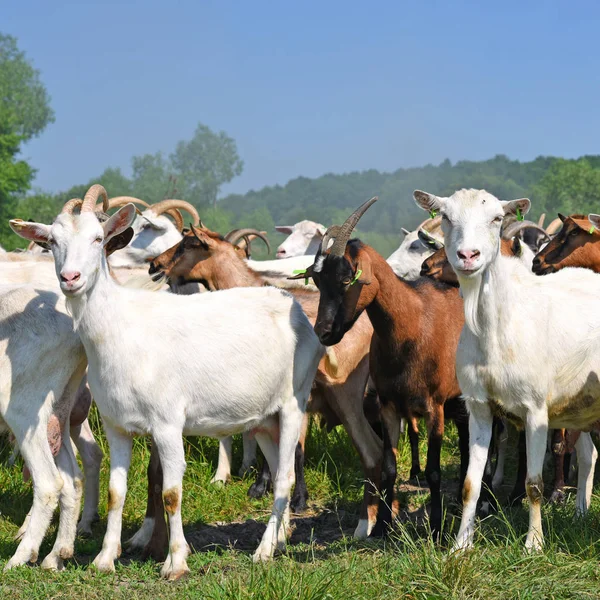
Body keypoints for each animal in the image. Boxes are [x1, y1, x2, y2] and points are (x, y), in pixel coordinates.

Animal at [10, 185, 324, 580]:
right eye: (52, 241)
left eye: (98, 238)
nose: (70, 278)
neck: (122, 328)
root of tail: (295, 309)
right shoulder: (116, 425)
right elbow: (116, 491)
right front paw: (105, 558)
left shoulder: (167, 424)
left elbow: (171, 493)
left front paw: (176, 562)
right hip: (266, 419)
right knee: (279, 465)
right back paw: (280, 539)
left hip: (294, 402)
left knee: (284, 477)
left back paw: (264, 551)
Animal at [414, 188, 600, 552]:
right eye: (445, 216)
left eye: (497, 218)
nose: (467, 255)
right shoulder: (479, 408)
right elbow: (470, 483)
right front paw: (460, 546)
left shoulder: (536, 409)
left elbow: (534, 483)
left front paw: (533, 544)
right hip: (582, 403)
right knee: (589, 453)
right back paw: (581, 514)